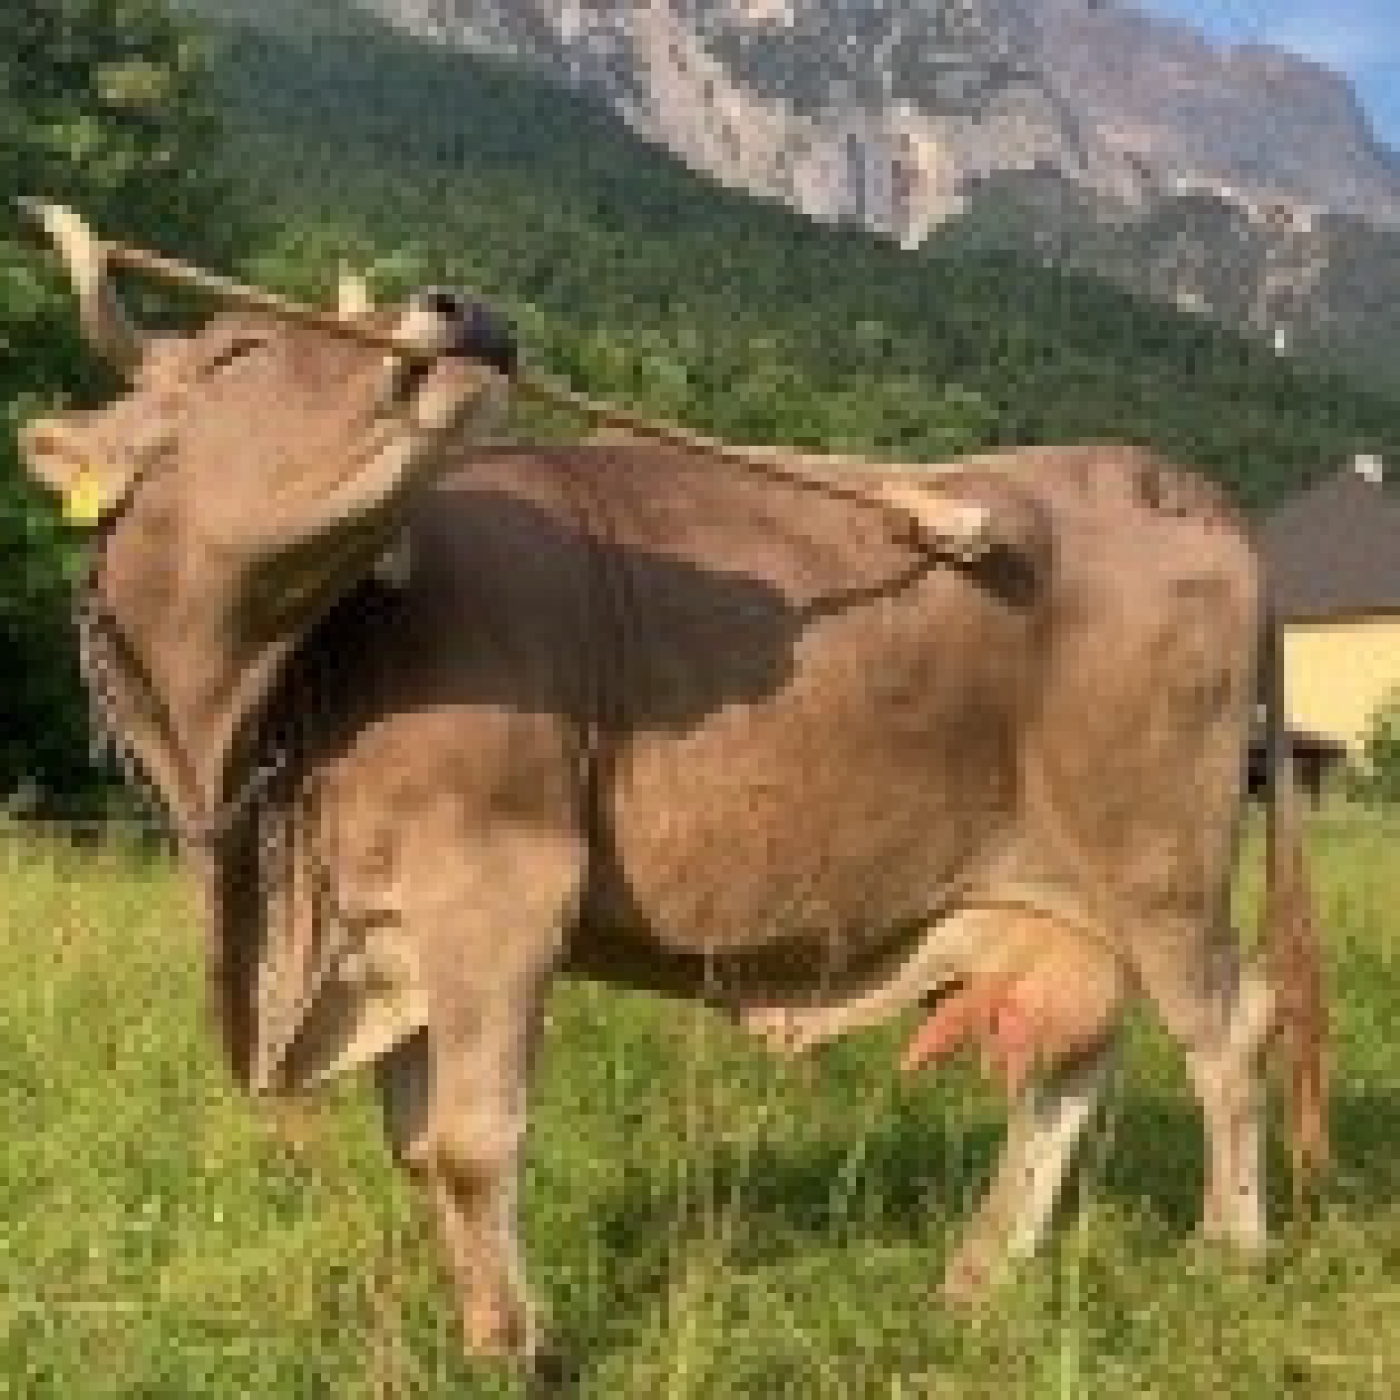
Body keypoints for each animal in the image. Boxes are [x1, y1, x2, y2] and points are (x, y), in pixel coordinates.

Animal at [18, 202, 1325, 1379]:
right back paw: (978, 1269)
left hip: (1158, 856)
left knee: (1226, 1026)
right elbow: (417, 1142)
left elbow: (472, 1140)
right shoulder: (386, 932)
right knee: (1072, 1054)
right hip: (1063, 893)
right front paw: (478, 1325)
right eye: (237, 352)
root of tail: (1170, 482)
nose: (462, 310)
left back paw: (1227, 1247)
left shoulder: (498, 889)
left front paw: (517, 1347)